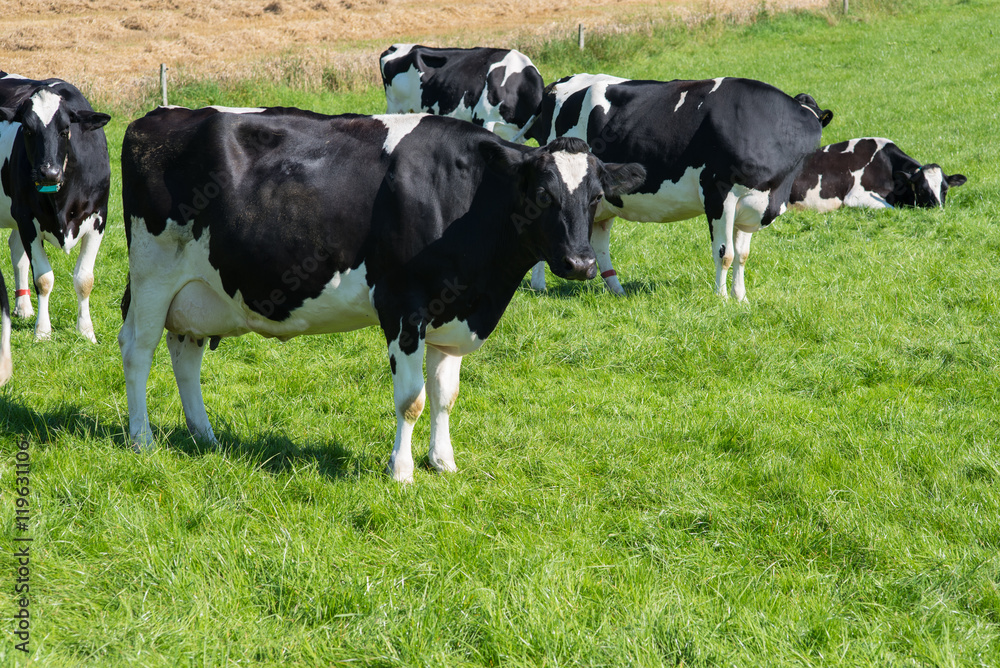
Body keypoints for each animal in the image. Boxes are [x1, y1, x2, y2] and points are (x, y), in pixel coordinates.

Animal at [0, 72, 111, 344]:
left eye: (65, 130)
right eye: (27, 130)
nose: (48, 172)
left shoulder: (98, 218)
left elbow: (85, 279)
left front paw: (86, 331)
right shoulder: (27, 218)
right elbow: (44, 278)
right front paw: (42, 331)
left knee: (16, 250)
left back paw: (23, 307)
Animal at [119, 105, 648, 480]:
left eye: (595, 196)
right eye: (542, 194)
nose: (580, 263)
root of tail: (154, 116)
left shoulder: (451, 311)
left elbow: (445, 395)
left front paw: (443, 462)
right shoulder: (404, 307)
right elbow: (412, 398)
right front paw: (402, 470)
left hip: (196, 293)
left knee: (185, 354)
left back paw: (204, 436)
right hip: (152, 275)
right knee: (137, 349)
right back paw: (142, 438)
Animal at [528, 74, 832, 302]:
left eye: (816, 124)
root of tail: (560, 82)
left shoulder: (752, 204)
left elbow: (743, 256)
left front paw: (741, 297)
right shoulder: (718, 194)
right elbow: (725, 253)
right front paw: (722, 298)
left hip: (602, 200)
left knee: (600, 239)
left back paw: (617, 290)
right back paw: (539, 285)